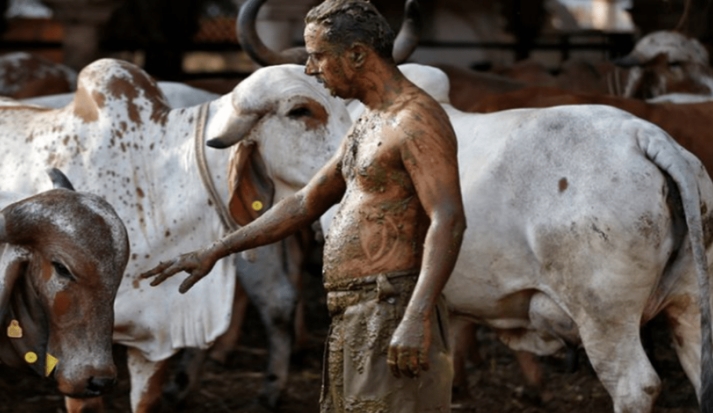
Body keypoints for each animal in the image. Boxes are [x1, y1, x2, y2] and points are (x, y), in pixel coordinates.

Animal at [202, 62, 713, 412]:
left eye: (300, 109)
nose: (341, 155)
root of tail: (645, 137)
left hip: (604, 317)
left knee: (635, 386)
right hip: (690, 304)